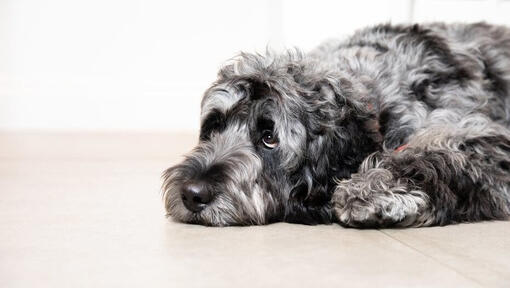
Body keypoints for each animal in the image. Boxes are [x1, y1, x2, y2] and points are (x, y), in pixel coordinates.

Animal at [162, 22, 510, 227]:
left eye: (269, 137)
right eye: (214, 125)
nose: (191, 193)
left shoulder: (483, 137)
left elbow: (439, 153)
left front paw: (372, 189)